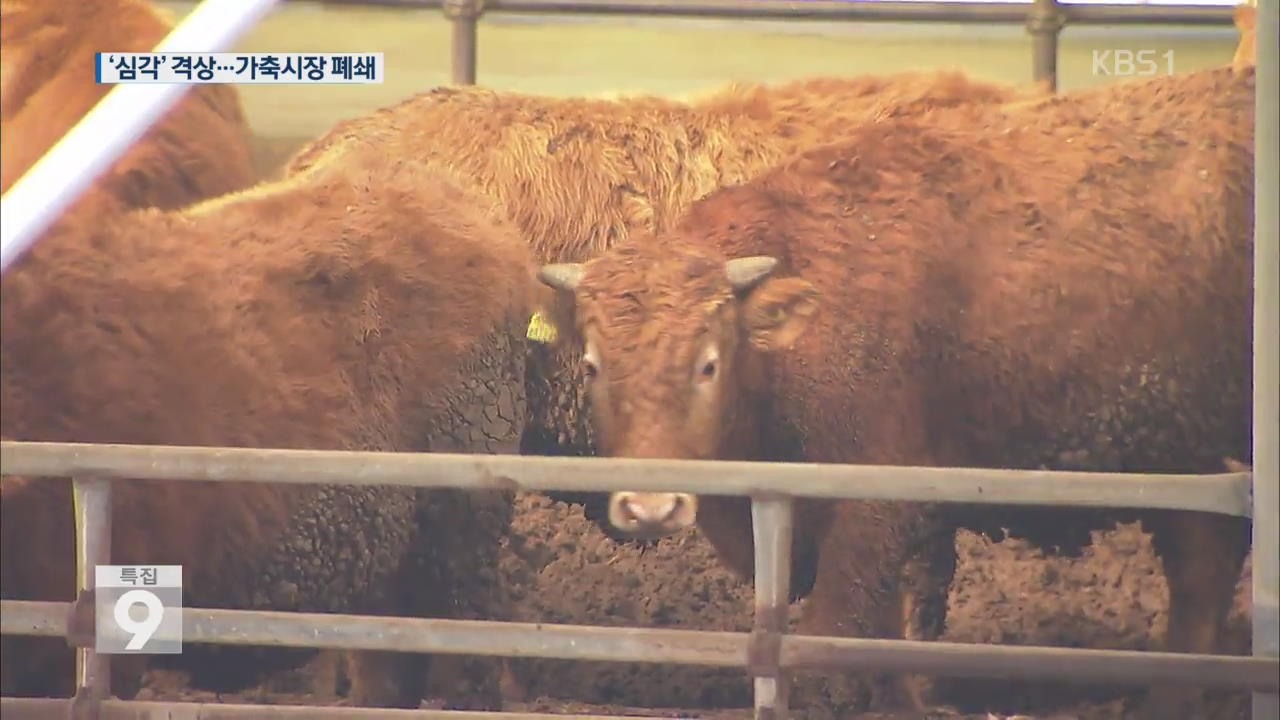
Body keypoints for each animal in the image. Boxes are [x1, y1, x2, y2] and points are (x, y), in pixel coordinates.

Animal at [535, 63, 1254, 717]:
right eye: (593, 364)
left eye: (708, 364)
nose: (650, 506)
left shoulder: (876, 508)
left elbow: (835, 635)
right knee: (1203, 568)